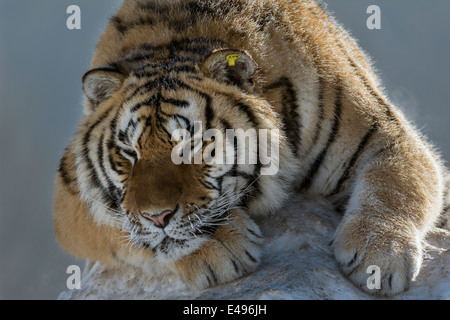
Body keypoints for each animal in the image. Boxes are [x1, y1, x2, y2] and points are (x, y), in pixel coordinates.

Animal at [53, 0, 450, 296]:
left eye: (192, 145)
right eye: (129, 153)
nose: (157, 217)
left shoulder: (383, 131)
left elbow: (396, 184)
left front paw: (379, 256)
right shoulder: (70, 195)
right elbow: (117, 225)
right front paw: (217, 251)